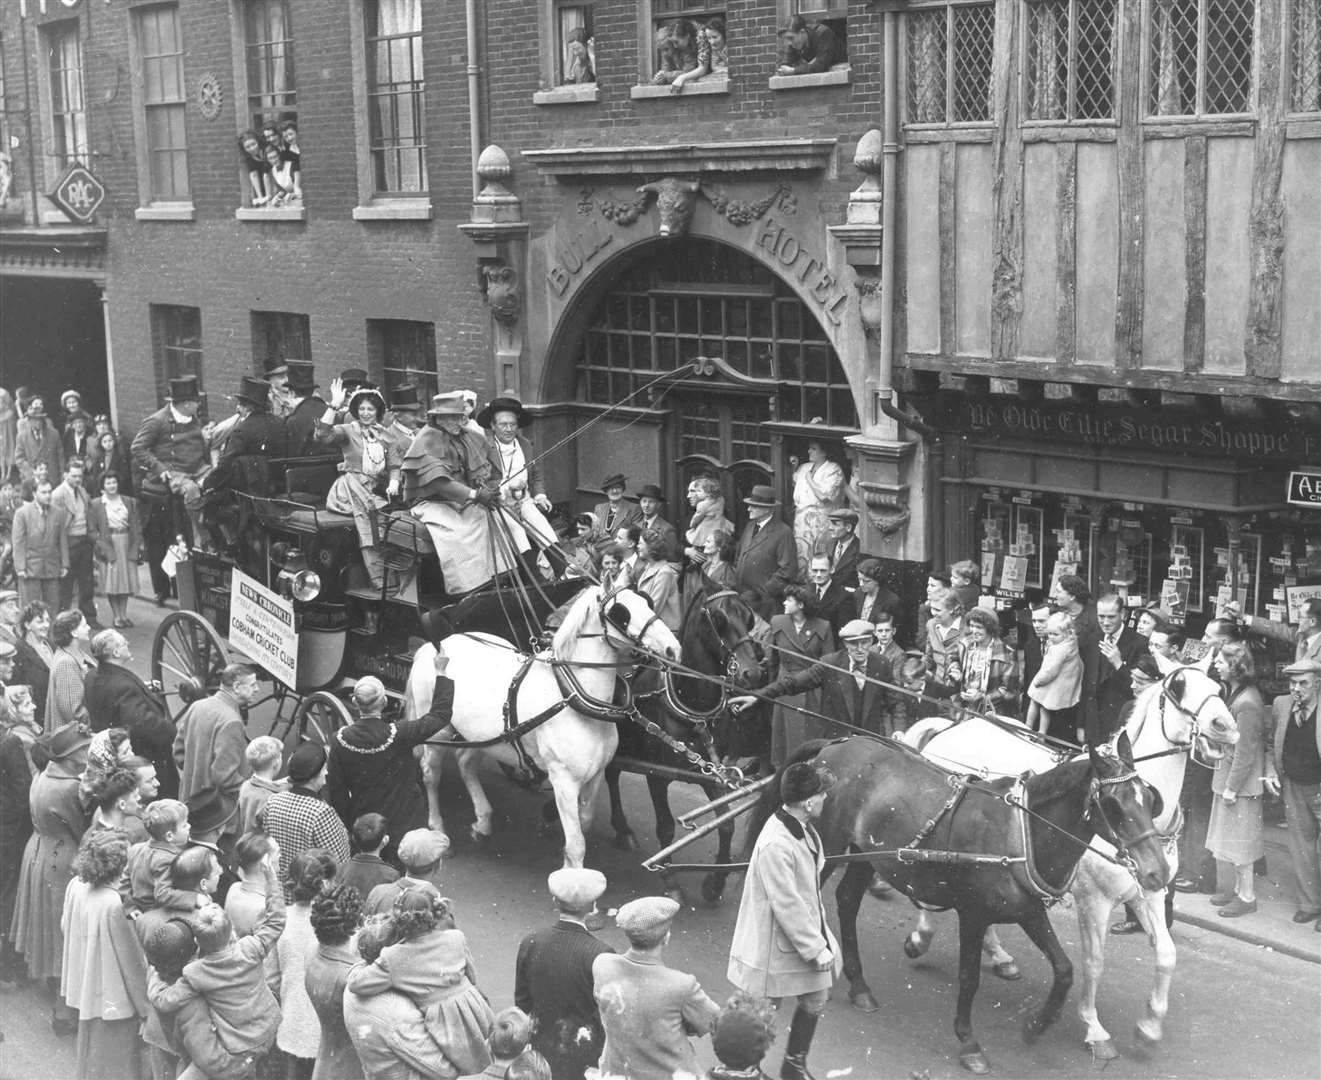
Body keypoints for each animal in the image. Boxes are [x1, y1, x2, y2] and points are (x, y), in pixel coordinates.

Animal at [404, 580, 676, 866]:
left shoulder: (596, 774)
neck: (572, 697)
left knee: (465, 764)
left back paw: (483, 823)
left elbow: (585, 822)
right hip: (438, 729)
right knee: (431, 774)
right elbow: (577, 844)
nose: (673, 649)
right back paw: (438, 830)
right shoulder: (563, 779)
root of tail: (434, 646)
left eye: (647, 602)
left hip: (483, 737)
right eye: (622, 612)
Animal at [602, 573, 760, 903]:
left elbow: (726, 825)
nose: (753, 673)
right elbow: (665, 827)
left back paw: (622, 830)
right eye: (719, 618)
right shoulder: (657, 775)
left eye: (749, 617)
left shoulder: (711, 771)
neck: (692, 705)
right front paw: (670, 880)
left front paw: (715, 882)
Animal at [745, 728, 1167, 1072]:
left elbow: (1064, 970)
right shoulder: (974, 914)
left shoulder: (1027, 910)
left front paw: (1036, 1025)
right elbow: (969, 978)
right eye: (1112, 804)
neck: (1019, 833)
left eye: (1149, 799)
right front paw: (968, 1042)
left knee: (847, 901)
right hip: (827, 848)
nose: (1158, 871)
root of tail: (836, 744)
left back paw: (860, 985)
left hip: (868, 854)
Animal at [898, 646, 1236, 1061]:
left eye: (1218, 686)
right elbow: (1094, 962)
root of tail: (950, 727)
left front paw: (1149, 1027)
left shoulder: (1150, 892)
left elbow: (1167, 954)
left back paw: (998, 955)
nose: (1224, 726)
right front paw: (1093, 1027)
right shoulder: (1095, 899)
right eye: (1179, 686)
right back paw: (922, 935)